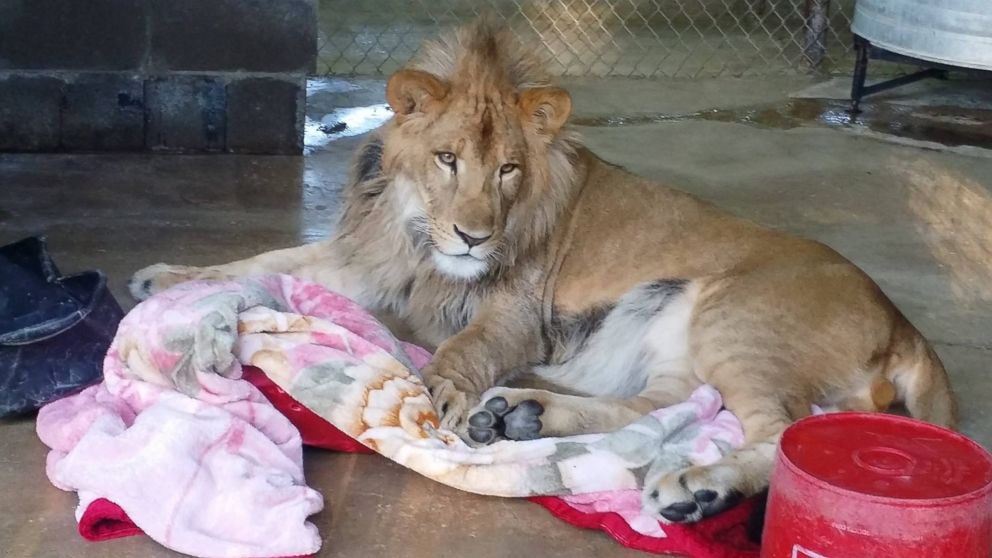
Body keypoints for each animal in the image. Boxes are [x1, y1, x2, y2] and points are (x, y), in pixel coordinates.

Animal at [128, 18, 956, 524]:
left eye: (508, 171)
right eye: (448, 159)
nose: (472, 237)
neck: (415, 230)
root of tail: (904, 324)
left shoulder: (516, 310)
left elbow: (464, 349)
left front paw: (437, 396)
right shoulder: (365, 263)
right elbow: (262, 262)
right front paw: (164, 278)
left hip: (732, 315)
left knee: (775, 433)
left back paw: (696, 487)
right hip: (661, 325)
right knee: (658, 407)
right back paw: (521, 415)